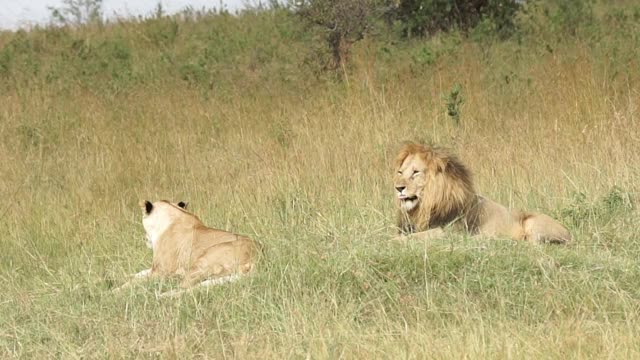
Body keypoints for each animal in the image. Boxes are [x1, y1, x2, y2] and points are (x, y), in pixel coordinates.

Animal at [117, 200, 260, 296]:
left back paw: (160, 296)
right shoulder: (155, 269)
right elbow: (139, 273)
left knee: (183, 290)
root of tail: (258, 258)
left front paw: (116, 290)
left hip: (200, 263)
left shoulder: (160, 272)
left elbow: (134, 282)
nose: (145, 238)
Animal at [396, 143, 568, 245]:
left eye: (416, 172)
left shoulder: (450, 232)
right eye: (400, 172)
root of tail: (569, 234)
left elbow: (418, 236)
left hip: (533, 223)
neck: (425, 206)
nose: (398, 188)